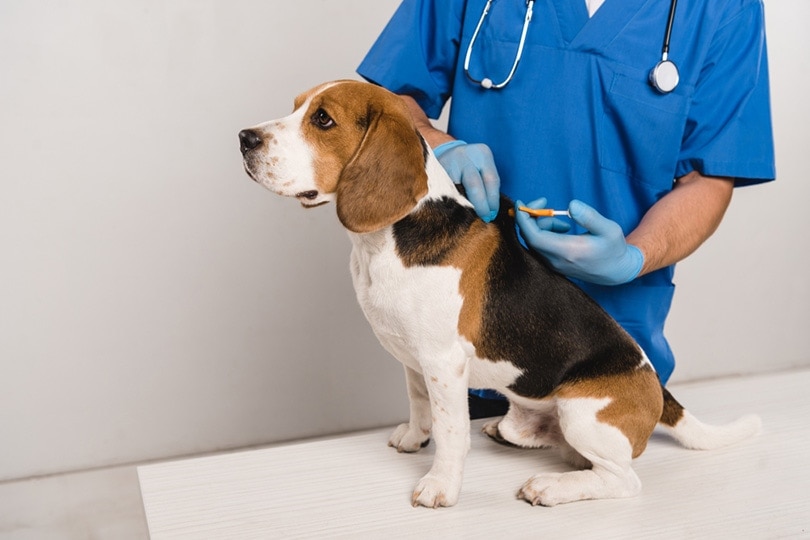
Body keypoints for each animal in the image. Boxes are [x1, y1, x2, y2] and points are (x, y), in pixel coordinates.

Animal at [237, 78, 760, 508]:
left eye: (323, 120)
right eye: (296, 107)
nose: (244, 137)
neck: (385, 239)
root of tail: (658, 390)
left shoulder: (443, 362)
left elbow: (451, 433)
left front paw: (440, 487)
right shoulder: (413, 360)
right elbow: (419, 404)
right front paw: (414, 437)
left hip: (582, 413)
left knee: (622, 479)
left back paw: (551, 487)